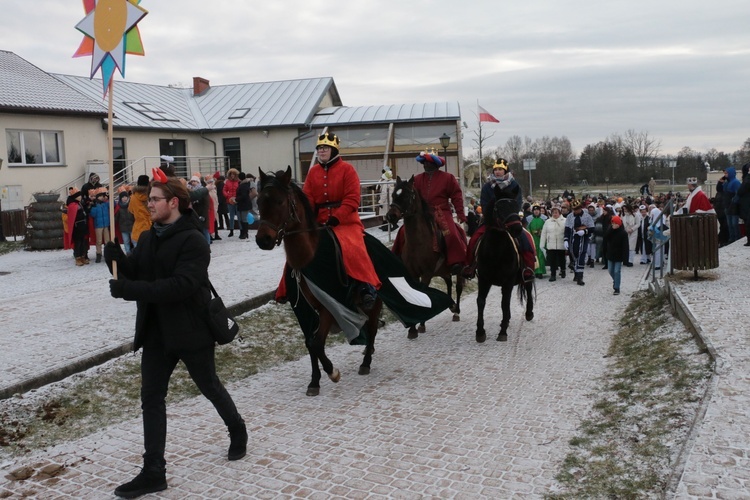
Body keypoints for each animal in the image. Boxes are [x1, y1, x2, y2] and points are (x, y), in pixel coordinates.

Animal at [256, 166, 384, 396]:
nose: (263, 240)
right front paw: (314, 381)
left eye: (280, 201)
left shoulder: (329, 306)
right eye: (260, 201)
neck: (307, 259)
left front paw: (333, 372)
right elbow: (310, 343)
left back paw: (366, 362)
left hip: (374, 301)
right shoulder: (303, 311)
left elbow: (316, 343)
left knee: (371, 328)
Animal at [388, 176, 464, 340]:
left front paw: (421, 324)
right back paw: (451, 305)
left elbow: (424, 293)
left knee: (458, 287)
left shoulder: (427, 274)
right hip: (443, 271)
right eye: (393, 195)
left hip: (459, 269)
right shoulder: (412, 273)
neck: (418, 242)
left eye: (406, 196)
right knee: (449, 283)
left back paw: (456, 311)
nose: (390, 216)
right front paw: (412, 328)